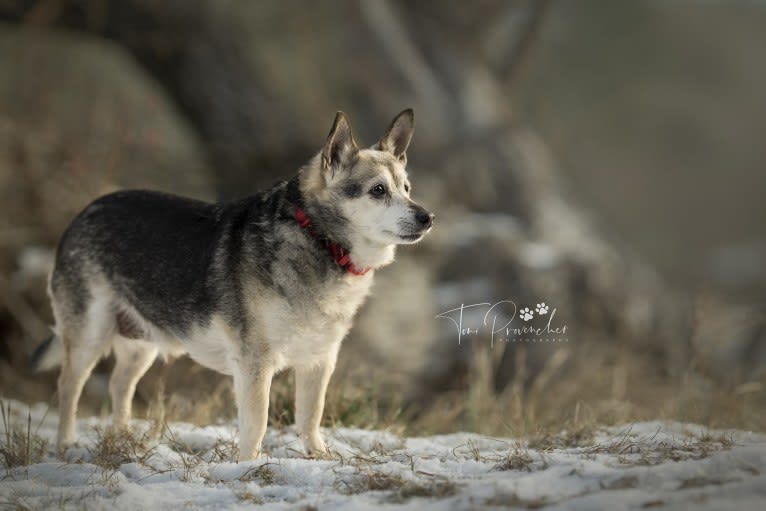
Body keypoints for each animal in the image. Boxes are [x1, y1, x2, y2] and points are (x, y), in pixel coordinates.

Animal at [33, 110, 436, 462]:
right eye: (378, 190)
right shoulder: (255, 362)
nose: (427, 216)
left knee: (119, 384)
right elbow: (257, 421)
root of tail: (84, 211)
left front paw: (318, 456)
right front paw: (248, 465)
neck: (319, 239)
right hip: (89, 334)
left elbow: (310, 416)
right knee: (68, 387)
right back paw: (66, 444)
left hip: (141, 339)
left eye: (407, 188)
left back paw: (123, 439)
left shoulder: (319, 359)